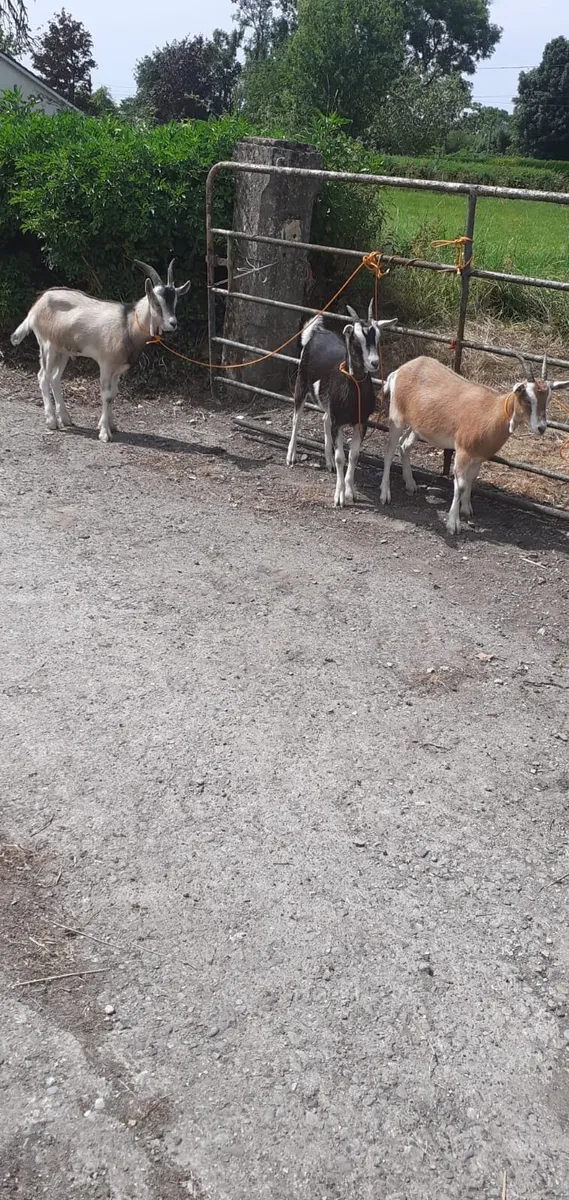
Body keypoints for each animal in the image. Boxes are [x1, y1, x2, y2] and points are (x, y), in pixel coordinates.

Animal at [10, 260, 191, 442]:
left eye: (175, 302)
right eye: (156, 302)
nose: (172, 323)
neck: (127, 325)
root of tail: (36, 307)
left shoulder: (118, 369)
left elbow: (114, 394)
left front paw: (112, 425)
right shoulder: (105, 364)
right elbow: (106, 395)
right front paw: (104, 432)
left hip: (63, 351)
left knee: (54, 378)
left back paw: (65, 418)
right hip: (48, 346)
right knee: (43, 377)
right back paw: (52, 421)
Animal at [286, 301, 397, 506]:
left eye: (378, 337)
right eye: (356, 339)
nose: (374, 362)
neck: (354, 390)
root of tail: (317, 333)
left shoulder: (362, 421)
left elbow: (353, 456)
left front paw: (350, 491)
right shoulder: (338, 421)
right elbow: (341, 458)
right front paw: (339, 495)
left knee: (324, 419)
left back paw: (328, 460)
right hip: (301, 382)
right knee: (297, 418)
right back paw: (291, 456)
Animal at [379, 353, 569, 533]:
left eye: (548, 399)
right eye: (527, 398)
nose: (541, 428)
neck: (492, 413)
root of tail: (400, 370)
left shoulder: (478, 456)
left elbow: (471, 479)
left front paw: (466, 509)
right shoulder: (463, 451)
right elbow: (461, 484)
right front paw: (453, 524)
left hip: (418, 426)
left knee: (405, 445)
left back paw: (411, 484)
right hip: (397, 417)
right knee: (389, 451)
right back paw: (385, 494)